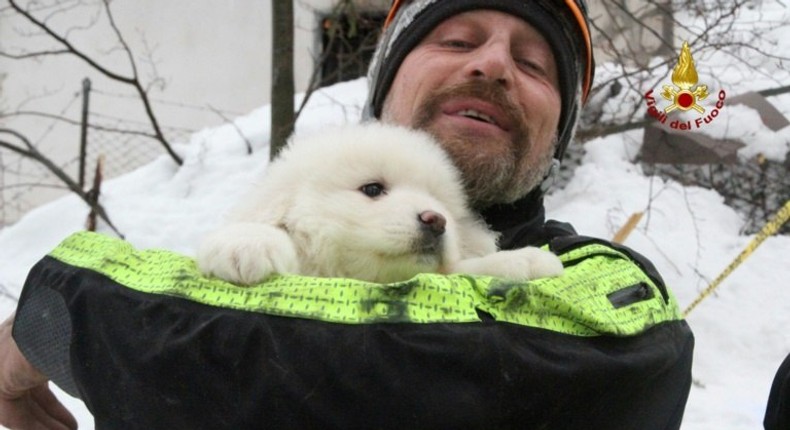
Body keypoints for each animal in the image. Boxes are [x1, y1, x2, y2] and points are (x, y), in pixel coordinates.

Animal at [201, 123, 568, 286]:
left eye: (441, 203)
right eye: (373, 189)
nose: (436, 220)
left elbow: (462, 269)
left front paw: (526, 260)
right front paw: (246, 244)